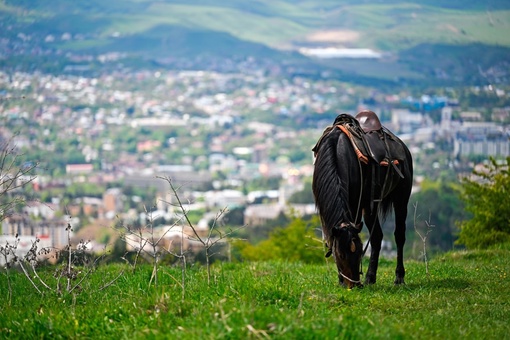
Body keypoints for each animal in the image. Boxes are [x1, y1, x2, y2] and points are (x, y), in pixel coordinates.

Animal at [310, 110, 414, 288]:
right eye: (341, 255)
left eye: (359, 252)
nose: (354, 285)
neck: (337, 151)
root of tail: (403, 147)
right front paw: (341, 279)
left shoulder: (355, 203)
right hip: (370, 206)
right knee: (377, 237)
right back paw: (370, 278)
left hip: (401, 198)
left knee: (399, 235)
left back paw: (399, 277)